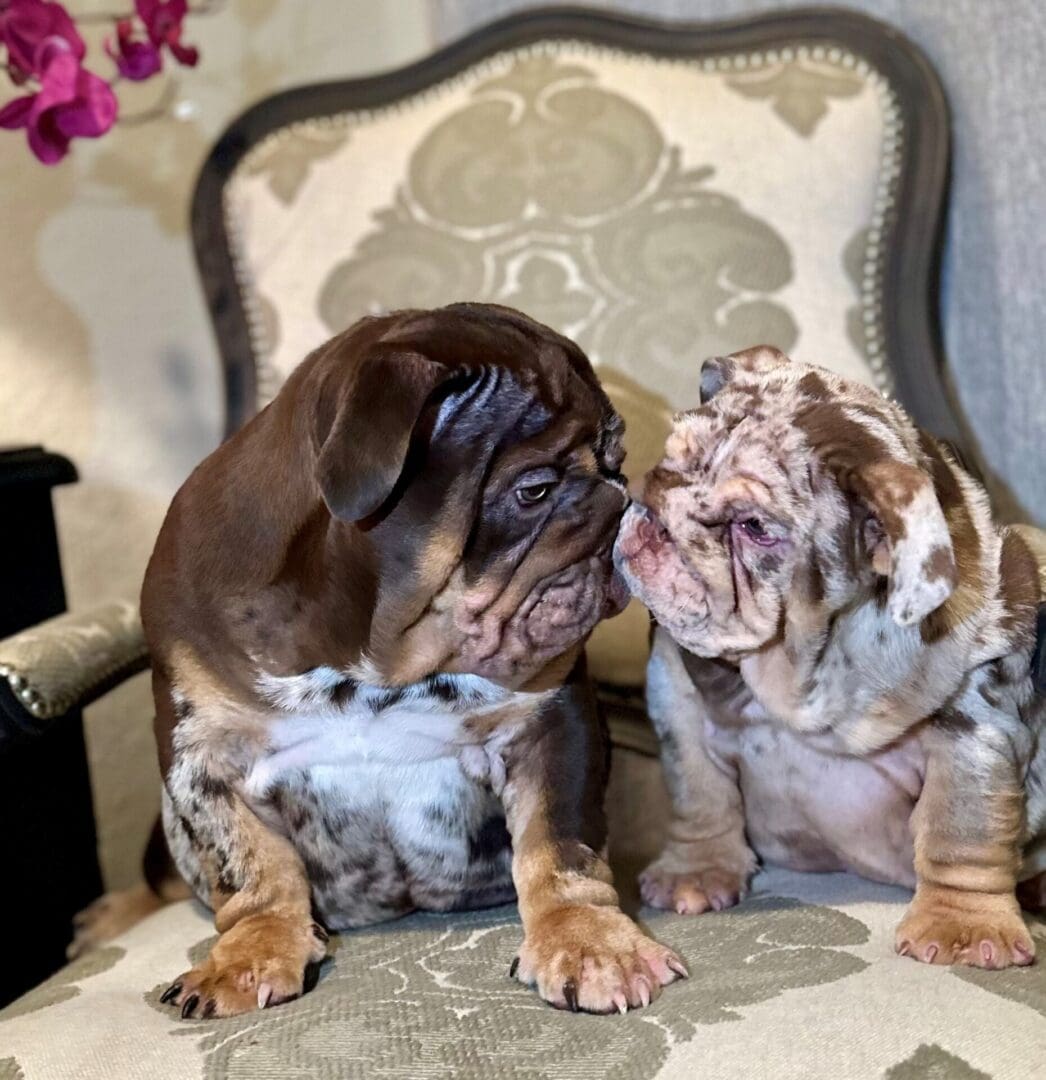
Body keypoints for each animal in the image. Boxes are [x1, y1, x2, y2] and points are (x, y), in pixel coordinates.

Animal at [142, 306, 690, 1019]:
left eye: (615, 460)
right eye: (535, 489)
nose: (619, 498)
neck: (375, 660)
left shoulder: (550, 720)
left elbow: (560, 842)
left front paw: (591, 944)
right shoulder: (202, 754)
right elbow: (248, 859)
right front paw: (249, 951)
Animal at [613, 345, 1044, 972]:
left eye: (754, 527)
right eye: (672, 459)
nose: (657, 516)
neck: (796, 667)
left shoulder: (973, 726)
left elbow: (962, 825)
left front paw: (962, 926)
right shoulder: (677, 693)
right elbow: (698, 789)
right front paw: (696, 871)